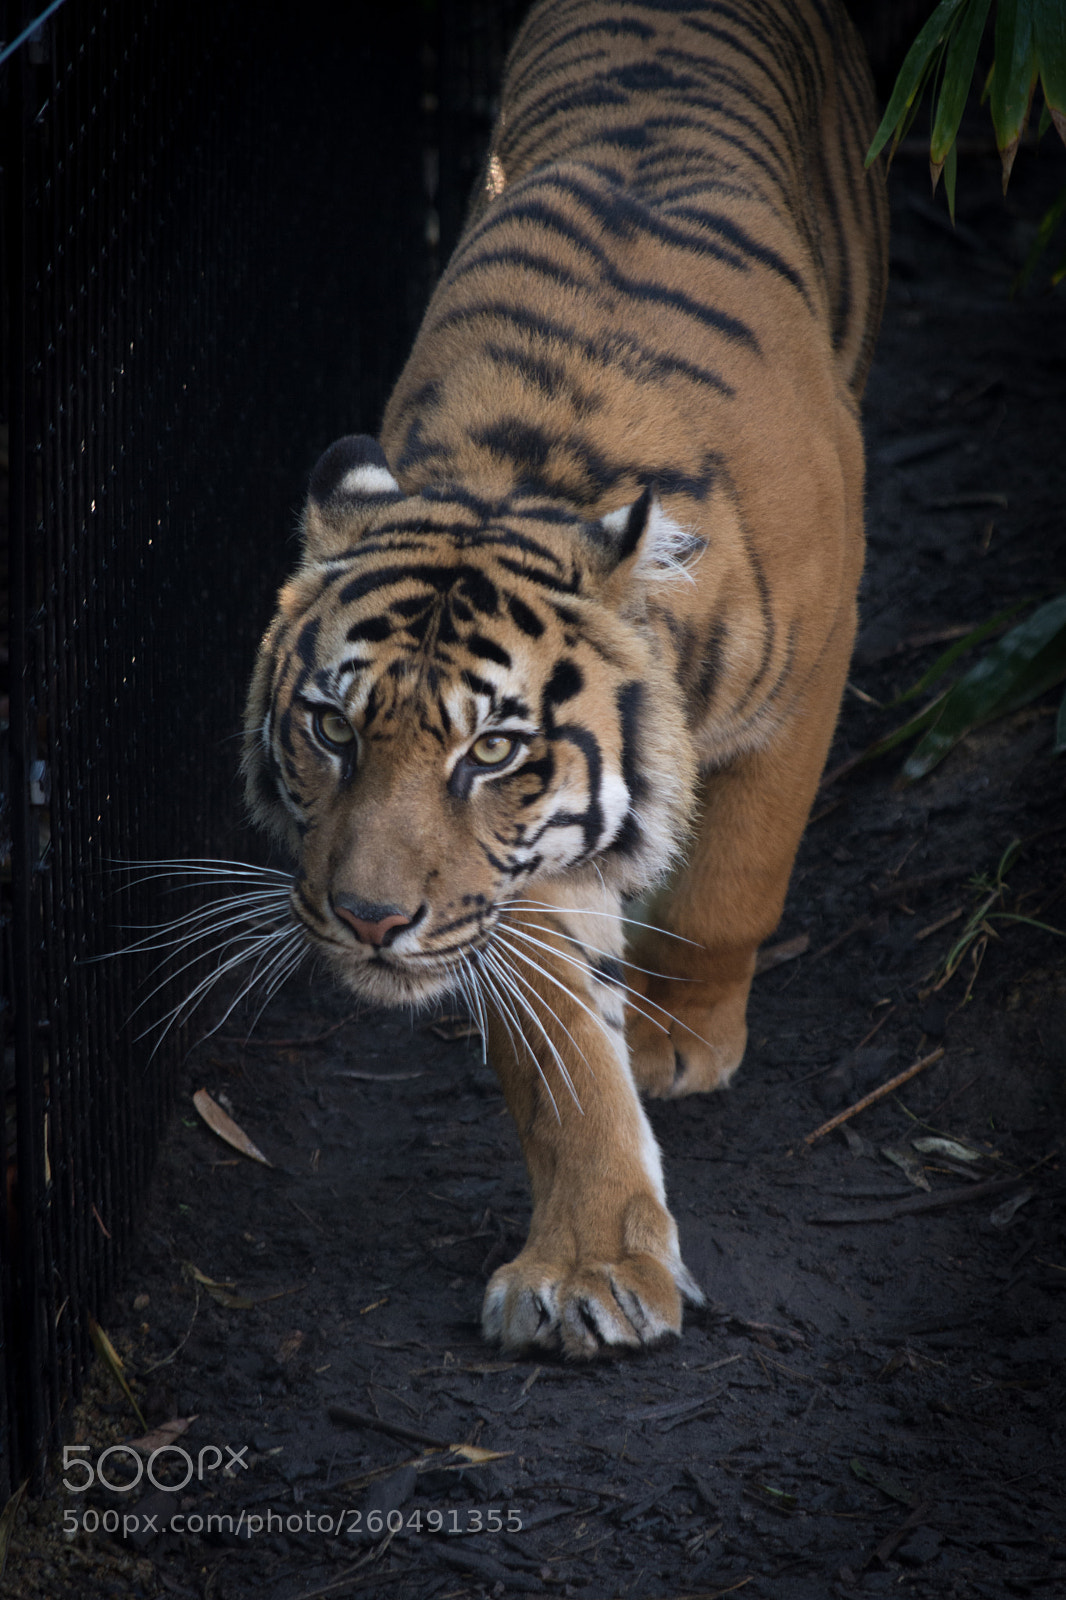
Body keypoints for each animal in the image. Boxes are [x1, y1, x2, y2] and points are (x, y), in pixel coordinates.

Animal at [243, 0, 887, 1359]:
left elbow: (732, 883)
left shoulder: (807, 679)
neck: (528, 470)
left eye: (489, 748)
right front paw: (591, 1270)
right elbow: (557, 1059)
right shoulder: (522, 864)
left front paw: (678, 1039)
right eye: (329, 728)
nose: (369, 920)